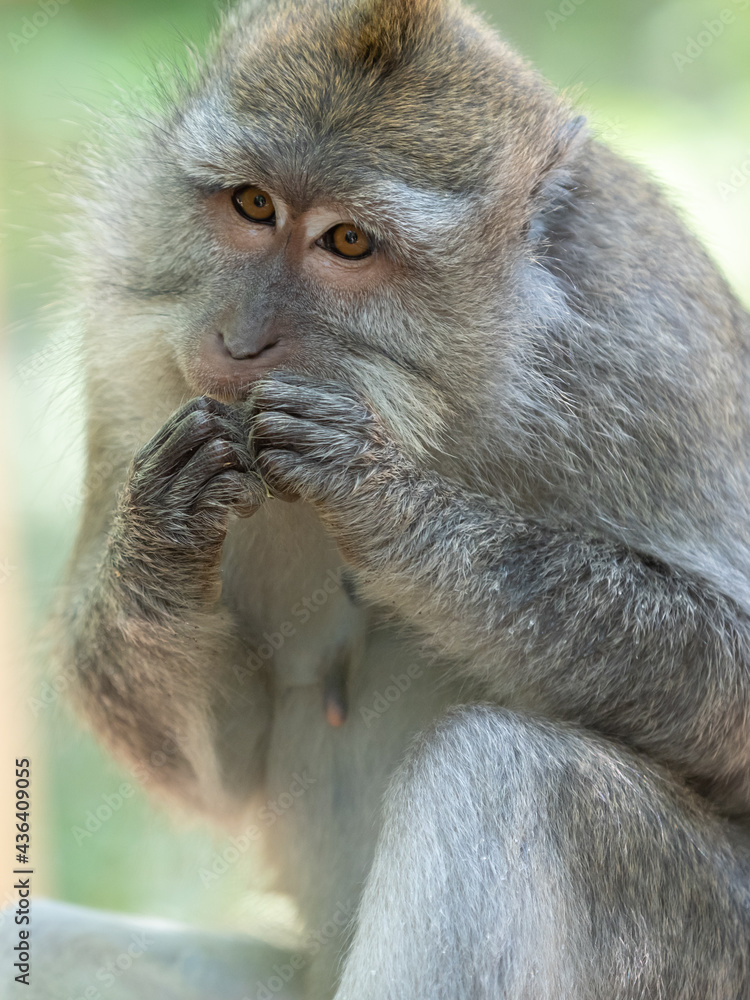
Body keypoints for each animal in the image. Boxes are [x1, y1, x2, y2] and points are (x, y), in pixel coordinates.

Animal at [42, 0, 750, 995]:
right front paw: (164, 531)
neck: (453, 396)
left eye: (347, 241)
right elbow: (226, 763)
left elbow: (737, 679)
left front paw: (382, 501)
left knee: (509, 779)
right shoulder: (128, 352)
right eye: (253, 204)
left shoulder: (655, 356)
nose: (238, 339)